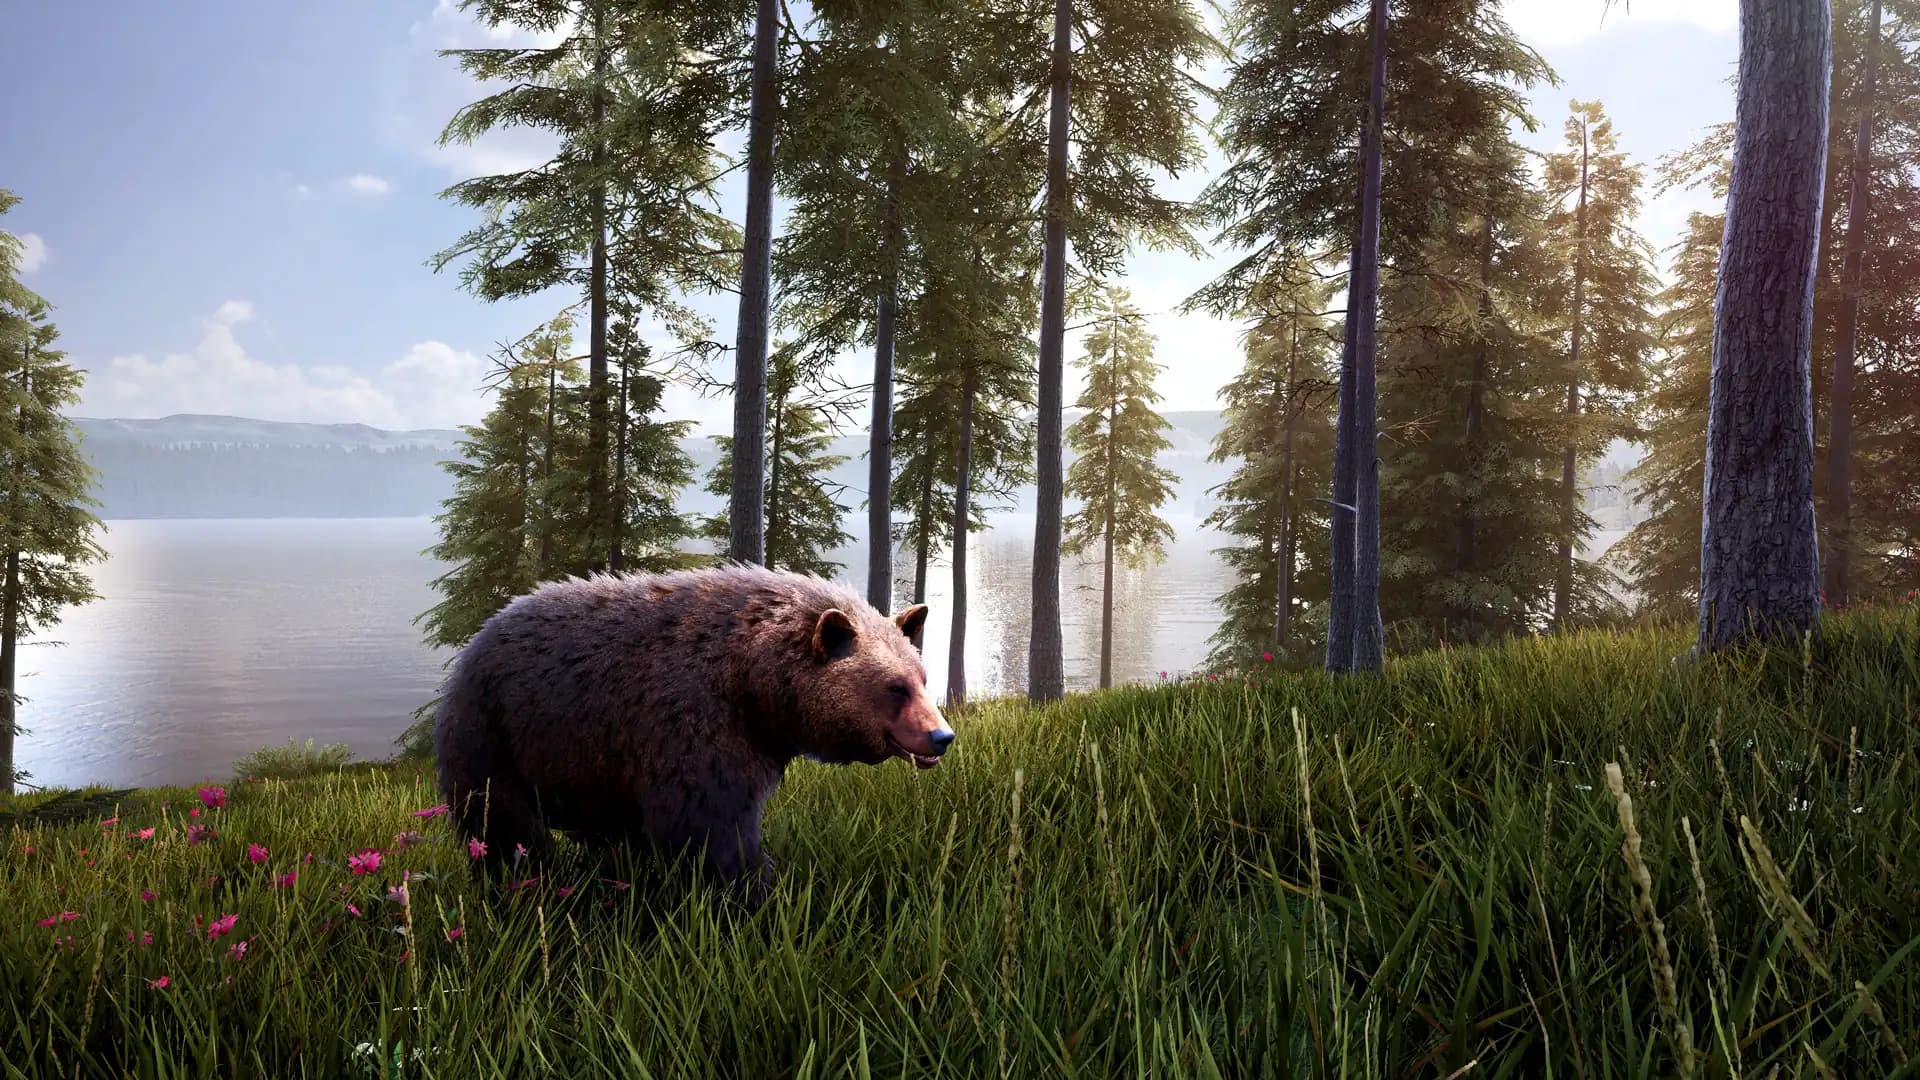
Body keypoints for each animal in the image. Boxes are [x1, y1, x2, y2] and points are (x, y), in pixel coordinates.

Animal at [431, 563, 953, 906]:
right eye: (895, 687)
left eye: (922, 677)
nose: (941, 737)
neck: (752, 683)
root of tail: (485, 629)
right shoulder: (692, 720)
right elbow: (706, 822)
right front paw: (756, 889)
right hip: (494, 728)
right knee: (498, 818)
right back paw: (521, 877)